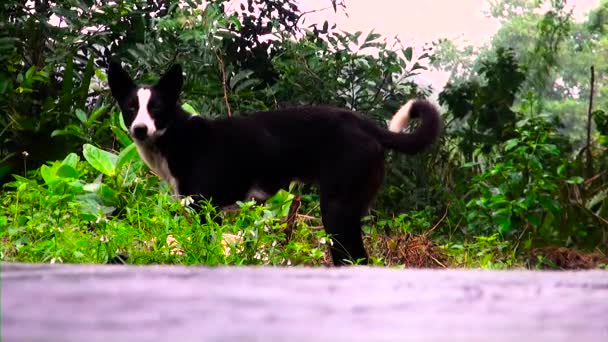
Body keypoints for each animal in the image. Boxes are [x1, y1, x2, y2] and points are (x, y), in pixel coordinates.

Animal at [108, 60, 442, 264]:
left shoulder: (206, 210)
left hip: (336, 210)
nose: (139, 129)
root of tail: (366, 125)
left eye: (157, 108)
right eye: (130, 108)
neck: (177, 137)